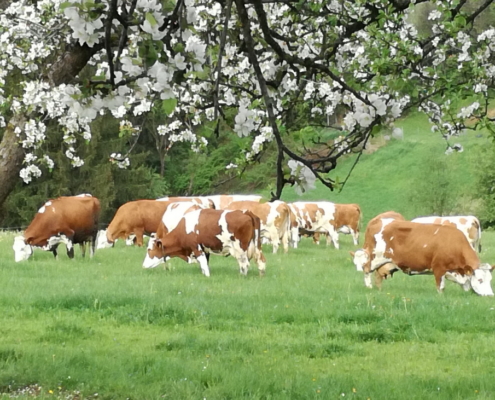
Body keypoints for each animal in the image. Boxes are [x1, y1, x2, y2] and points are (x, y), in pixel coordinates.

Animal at [356, 219, 492, 294]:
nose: (490, 295)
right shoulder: (439, 268)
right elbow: (441, 287)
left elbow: (466, 285)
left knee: (377, 276)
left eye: (490, 280)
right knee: (366, 270)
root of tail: (376, 221)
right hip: (373, 257)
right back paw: (369, 287)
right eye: (480, 280)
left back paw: (379, 290)